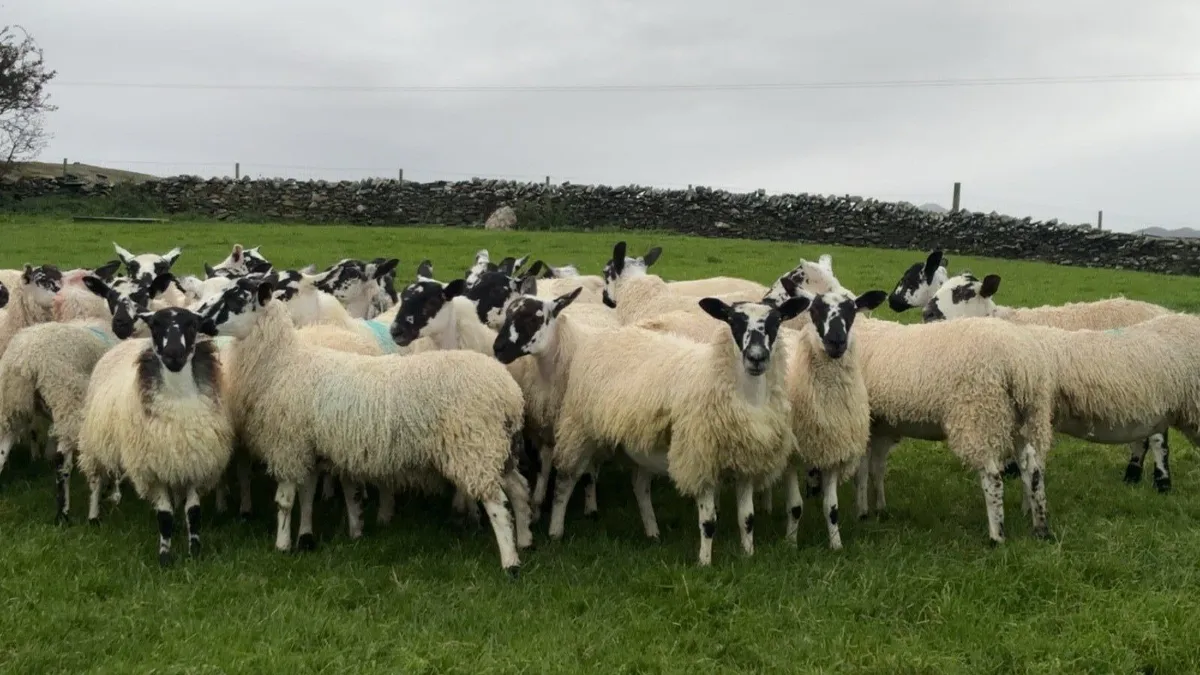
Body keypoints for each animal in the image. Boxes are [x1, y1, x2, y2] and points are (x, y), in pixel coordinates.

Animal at [77, 307, 234, 566]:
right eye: (155, 325)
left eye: (192, 324)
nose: (173, 354)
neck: (179, 400)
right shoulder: (151, 469)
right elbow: (164, 515)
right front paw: (165, 557)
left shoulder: (193, 462)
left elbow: (193, 512)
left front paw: (194, 551)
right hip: (94, 441)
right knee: (96, 480)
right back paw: (93, 516)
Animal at [200, 277, 531, 576]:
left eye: (235, 299)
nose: (200, 322)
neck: (283, 363)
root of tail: (509, 393)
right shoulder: (309, 444)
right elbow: (306, 495)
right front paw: (306, 537)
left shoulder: (288, 446)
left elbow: (284, 501)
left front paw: (282, 546)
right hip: (498, 448)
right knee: (519, 489)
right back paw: (526, 540)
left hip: (474, 446)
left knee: (497, 504)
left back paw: (510, 563)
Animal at [496, 287, 808, 565]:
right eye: (733, 320)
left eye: (776, 322)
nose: (756, 358)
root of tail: (611, 335)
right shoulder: (699, 458)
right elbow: (708, 522)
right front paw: (705, 563)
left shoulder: (745, 461)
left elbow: (747, 518)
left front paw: (748, 554)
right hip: (579, 428)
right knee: (566, 479)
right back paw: (556, 530)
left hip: (639, 442)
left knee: (639, 486)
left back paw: (652, 531)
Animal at [923, 272, 1183, 491]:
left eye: (964, 292)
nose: (927, 314)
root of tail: (1163, 311)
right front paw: (1011, 469)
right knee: (1143, 437)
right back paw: (1132, 475)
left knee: (1158, 439)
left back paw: (1162, 483)